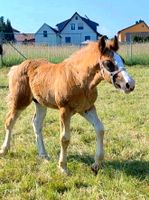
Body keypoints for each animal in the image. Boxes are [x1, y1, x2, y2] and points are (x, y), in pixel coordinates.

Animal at [0, 36, 135, 174]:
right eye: (108, 63)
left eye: (123, 60)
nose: (130, 84)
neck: (78, 79)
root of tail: (18, 66)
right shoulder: (64, 110)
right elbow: (65, 138)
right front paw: (63, 168)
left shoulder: (87, 108)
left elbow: (100, 129)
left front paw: (96, 164)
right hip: (20, 101)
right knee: (9, 121)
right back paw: (4, 150)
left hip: (40, 103)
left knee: (36, 124)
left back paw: (43, 155)